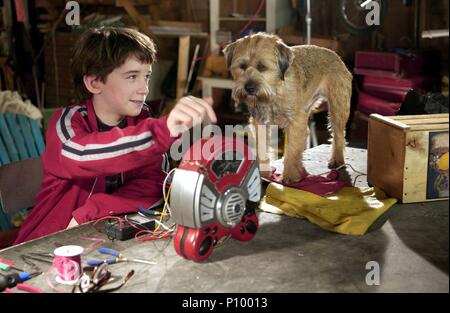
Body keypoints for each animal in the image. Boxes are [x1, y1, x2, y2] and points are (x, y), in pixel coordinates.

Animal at [223, 32, 354, 183]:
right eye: (242, 66)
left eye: (262, 67)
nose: (249, 88)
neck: (274, 92)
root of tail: (336, 56)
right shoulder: (260, 123)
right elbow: (262, 148)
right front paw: (263, 173)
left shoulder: (295, 121)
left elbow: (292, 149)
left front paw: (290, 176)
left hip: (337, 108)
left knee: (339, 135)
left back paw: (337, 160)